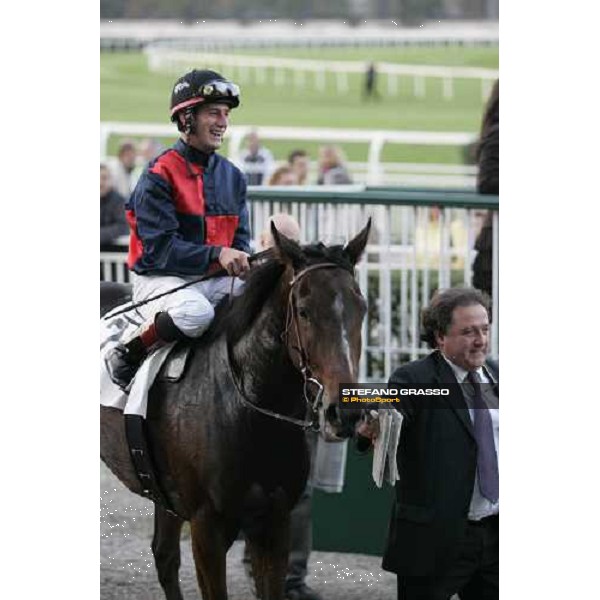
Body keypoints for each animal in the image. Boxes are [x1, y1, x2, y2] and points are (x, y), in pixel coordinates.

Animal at [99, 221, 370, 600]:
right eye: (304, 310)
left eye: (361, 307)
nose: (344, 412)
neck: (247, 409)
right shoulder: (207, 528)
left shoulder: (274, 522)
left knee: (164, 556)